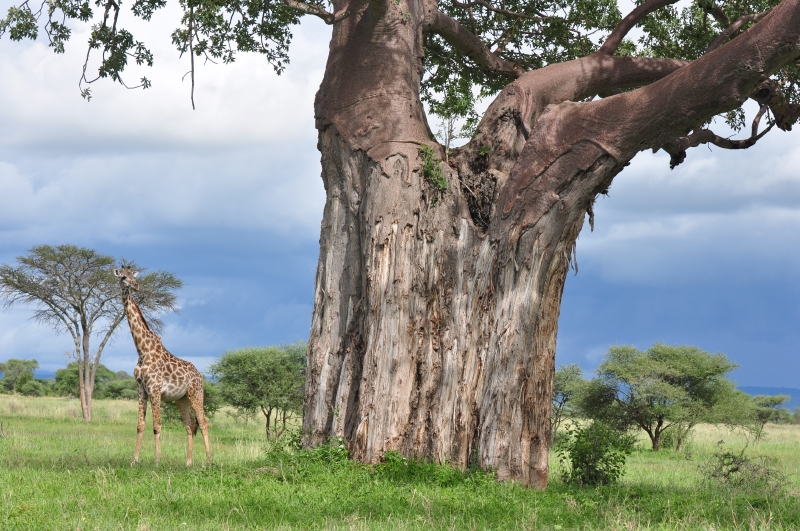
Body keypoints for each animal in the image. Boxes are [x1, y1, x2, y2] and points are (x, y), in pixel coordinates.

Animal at [113, 266, 212, 467]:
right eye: (123, 277)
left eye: (133, 276)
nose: (136, 286)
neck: (142, 351)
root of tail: (200, 375)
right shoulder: (141, 389)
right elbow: (140, 425)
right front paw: (134, 460)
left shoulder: (155, 389)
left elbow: (157, 425)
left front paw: (157, 461)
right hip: (181, 399)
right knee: (190, 424)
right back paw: (188, 463)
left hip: (196, 394)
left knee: (204, 423)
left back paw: (209, 461)